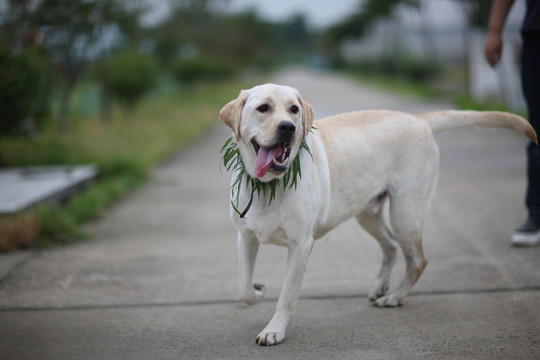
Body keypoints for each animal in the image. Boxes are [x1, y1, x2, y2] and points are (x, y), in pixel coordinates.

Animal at [218, 83, 536, 344]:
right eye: (263, 108)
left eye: (293, 109)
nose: (288, 127)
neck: (266, 186)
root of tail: (419, 119)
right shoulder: (245, 237)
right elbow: (243, 288)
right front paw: (258, 290)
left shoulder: (300, 246)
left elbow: (287, 295)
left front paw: (274, 330)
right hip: (368, 215)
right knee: (392, 246)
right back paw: (382, 287)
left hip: (405, 212)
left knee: (418, 259)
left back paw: (395, 296)